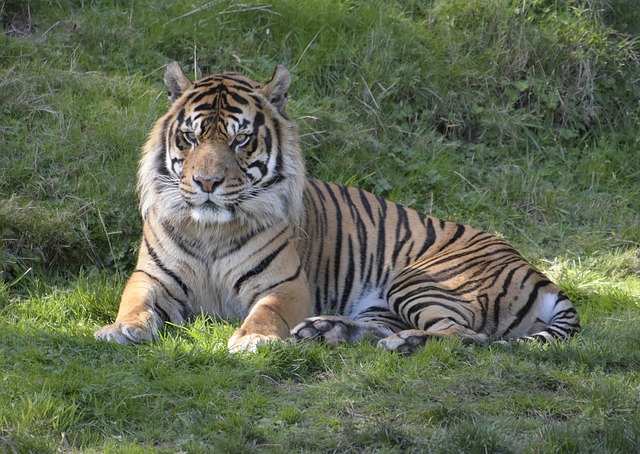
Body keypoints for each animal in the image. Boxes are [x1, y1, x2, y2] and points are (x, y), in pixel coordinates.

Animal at [94, 60, 580, 352]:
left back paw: (403, 343)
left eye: (240, 139)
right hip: (384, 301)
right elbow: (132, 303)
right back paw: (326, 329)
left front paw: (252, 341)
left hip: (423, 281)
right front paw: (119, 329)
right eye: (190, 137)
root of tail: (533, 269)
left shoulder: (286, 284)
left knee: (466, 335)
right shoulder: (150, 278)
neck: (210, 229)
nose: (207, 182)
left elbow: (266, 312)